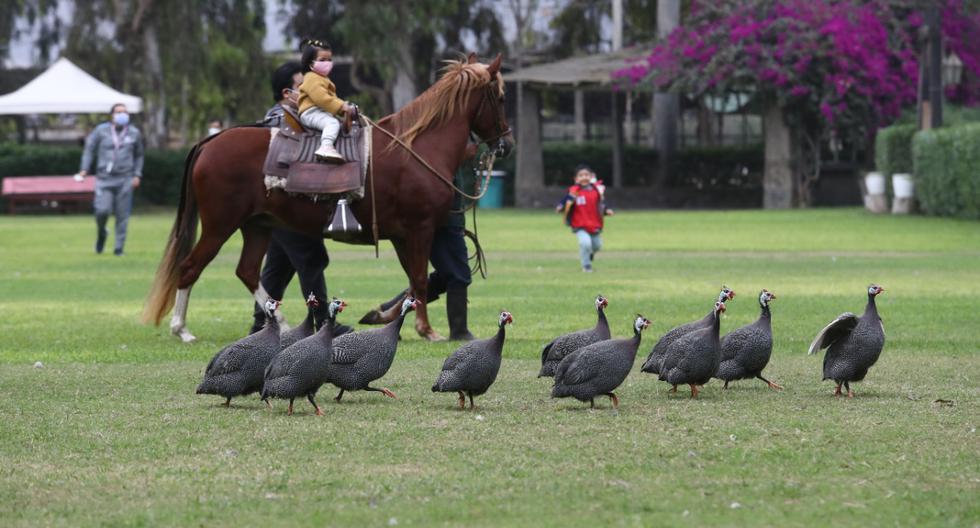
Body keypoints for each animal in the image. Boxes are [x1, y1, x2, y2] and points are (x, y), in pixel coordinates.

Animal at [145, 54, 516, 342]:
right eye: (500, 97)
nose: (507, 144)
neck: (417, 147)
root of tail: (210, 142)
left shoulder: (402, 236)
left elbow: (413, 282)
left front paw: (382, 315)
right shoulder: (419, 229)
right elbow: (421, 280)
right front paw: (426, 329)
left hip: (257, 225)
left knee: (248, 271)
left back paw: (280, 322)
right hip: (220, 224)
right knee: (191, 267)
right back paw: (182, 329)